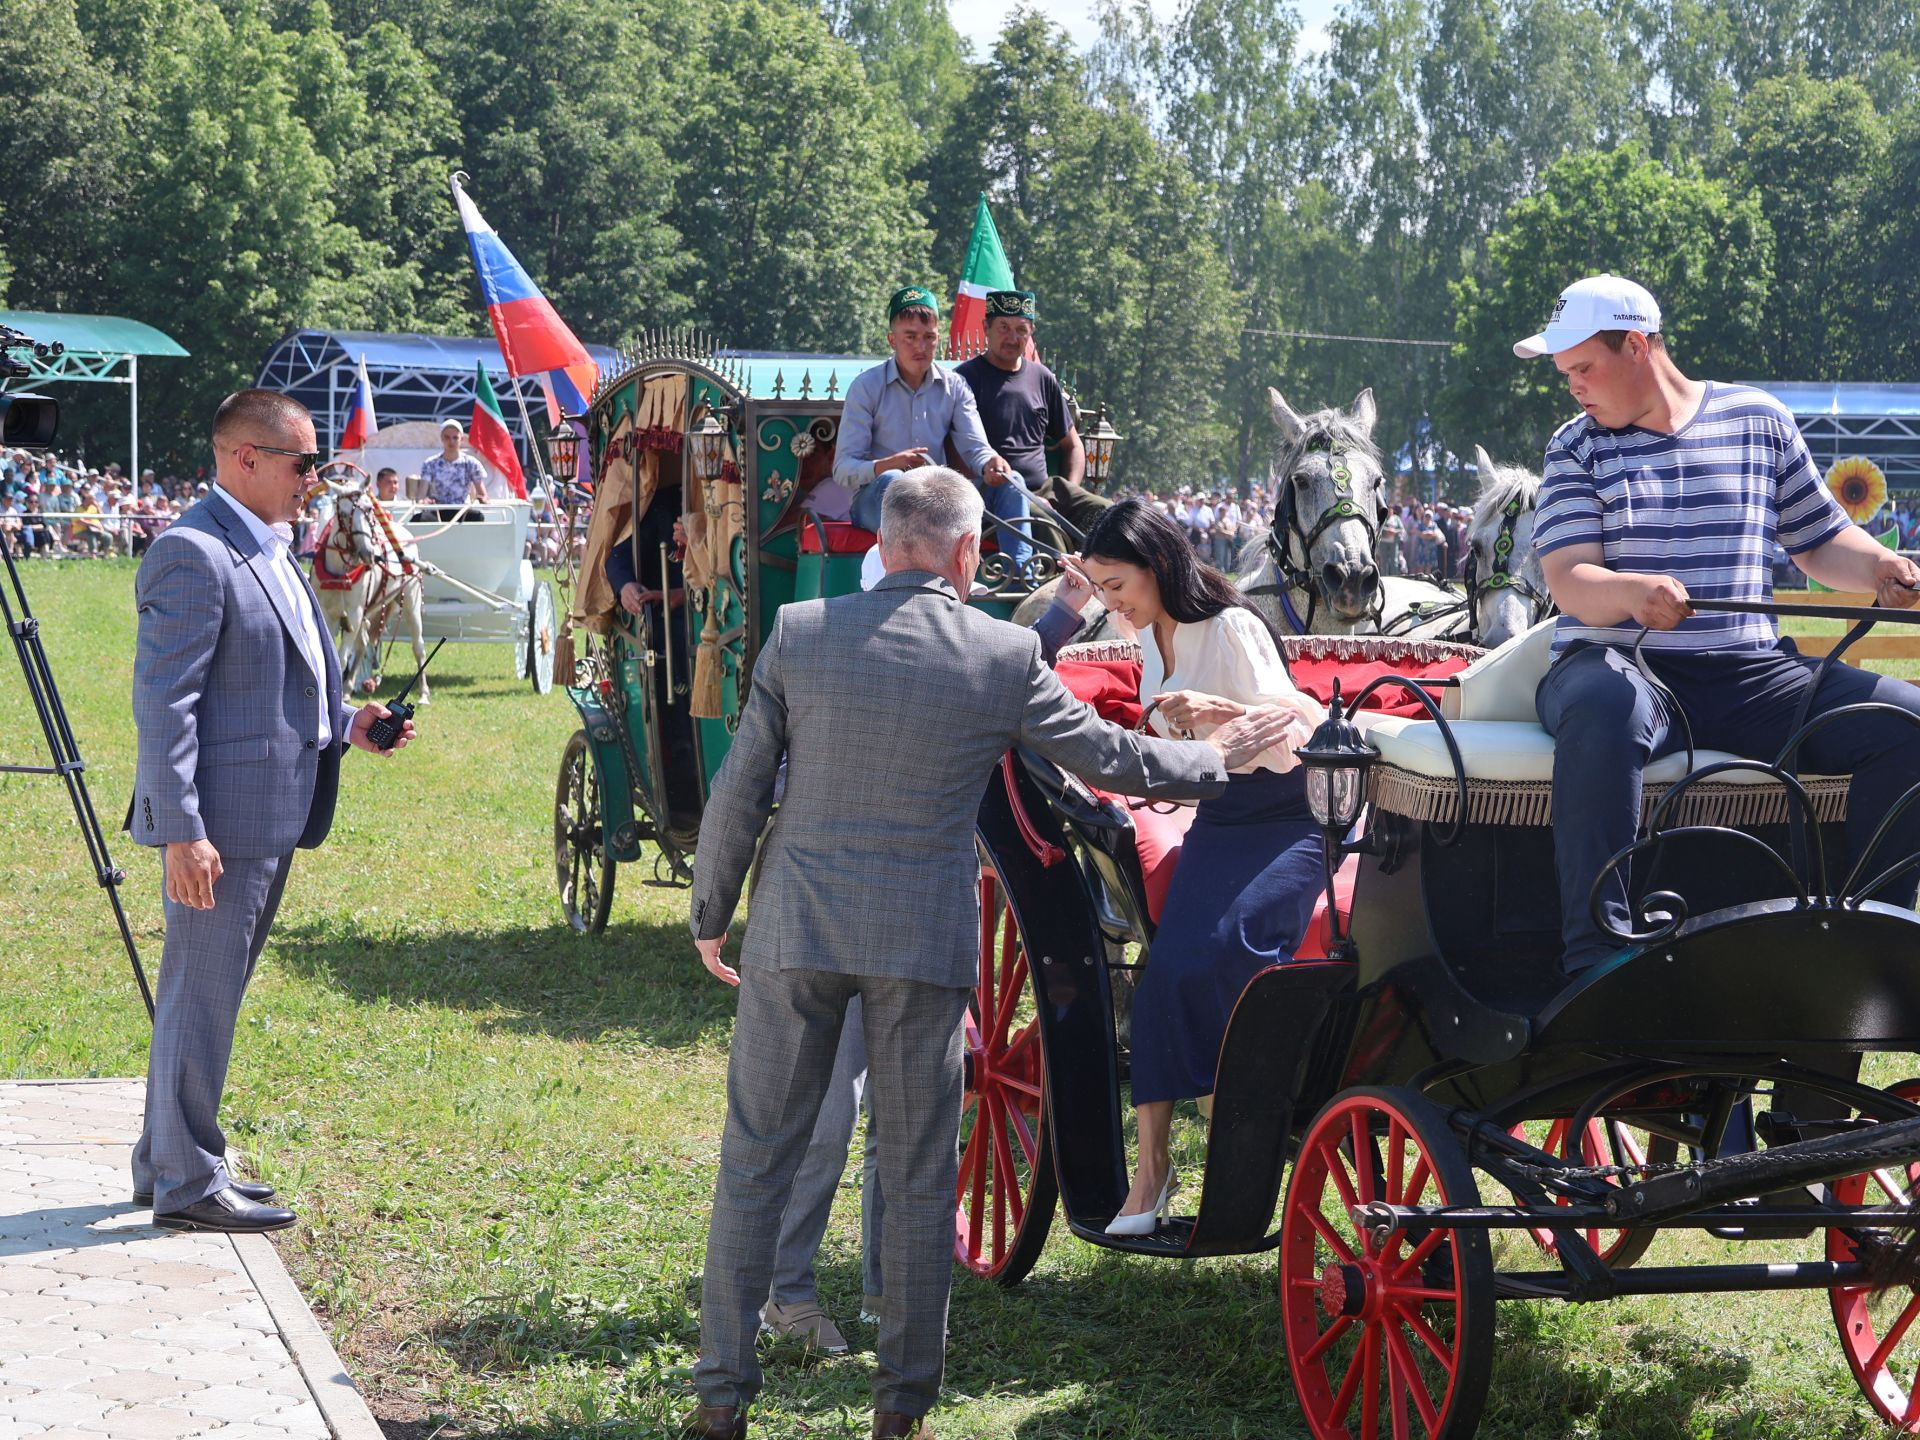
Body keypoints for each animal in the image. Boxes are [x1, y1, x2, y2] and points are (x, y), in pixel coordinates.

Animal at [312, 485, 430, 706]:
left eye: (369, 510)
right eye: (342, 513)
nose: (367, 553)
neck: (340, 574)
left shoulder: (354, 613)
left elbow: (341, 657)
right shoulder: (327, 613)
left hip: (411, 602)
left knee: (418, 646)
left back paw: (424, 693)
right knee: (363, 643)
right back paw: (349, 688)